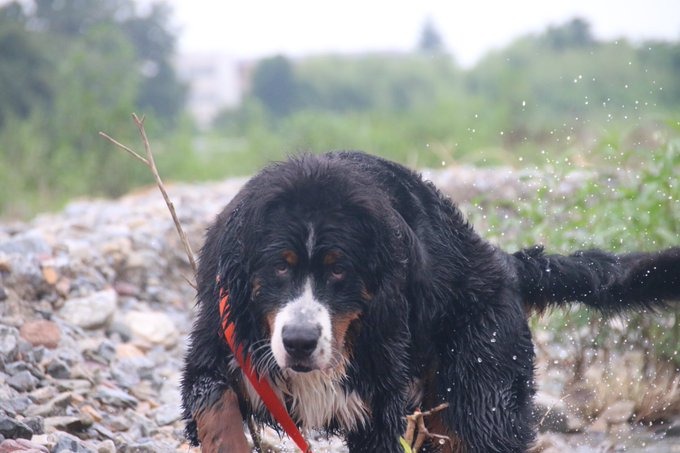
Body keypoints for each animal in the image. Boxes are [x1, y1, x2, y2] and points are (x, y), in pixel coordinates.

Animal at [181, 150, 680, 450]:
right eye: (279, 267)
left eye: (339, 270)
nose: (300, 341)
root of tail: (503, 264)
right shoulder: (221, 347)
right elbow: (213, 406)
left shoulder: (378, 404)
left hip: (483, 387)